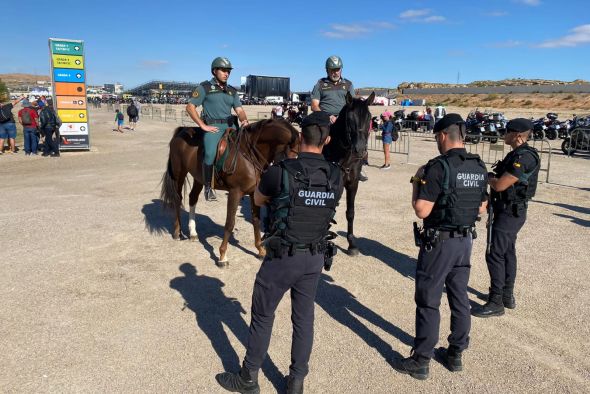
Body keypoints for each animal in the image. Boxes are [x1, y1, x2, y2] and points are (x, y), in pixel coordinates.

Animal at [161, 118, 300, 266]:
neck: (248, 154)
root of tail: (182, 130)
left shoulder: (254, 193)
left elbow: (256, 220)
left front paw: (260, 250)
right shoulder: (235, 193)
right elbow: (229, 223)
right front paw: (222, 256)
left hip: (199, 178)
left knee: (192, 198)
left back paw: (193, 233)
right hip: (179, 174)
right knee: (177, 199)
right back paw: (177, 232)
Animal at [324, 91, 374, 255]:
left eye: (369, 118)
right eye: (350, 119)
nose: (360, 149)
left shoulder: (352, 184)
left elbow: (350, 213)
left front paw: (351, 244)